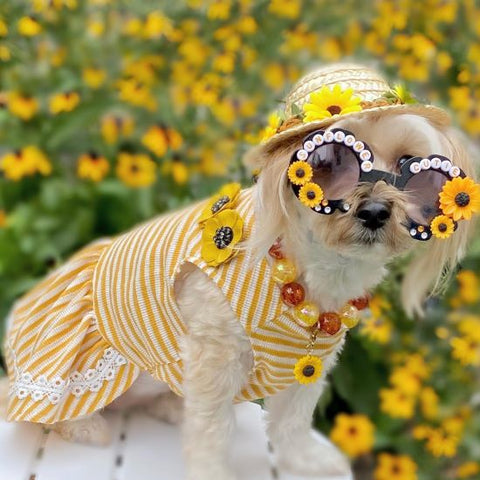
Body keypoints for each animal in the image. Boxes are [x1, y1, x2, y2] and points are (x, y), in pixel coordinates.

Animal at [0, 64, 480, 480]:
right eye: (328, 163)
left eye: (411, 165)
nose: (376, 210)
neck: (308, 271)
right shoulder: (215, 355)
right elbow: (212, 433)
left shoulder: (310, 364)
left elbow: (292, 422)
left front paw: (305, 461)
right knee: (52, 412)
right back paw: (89, 426)